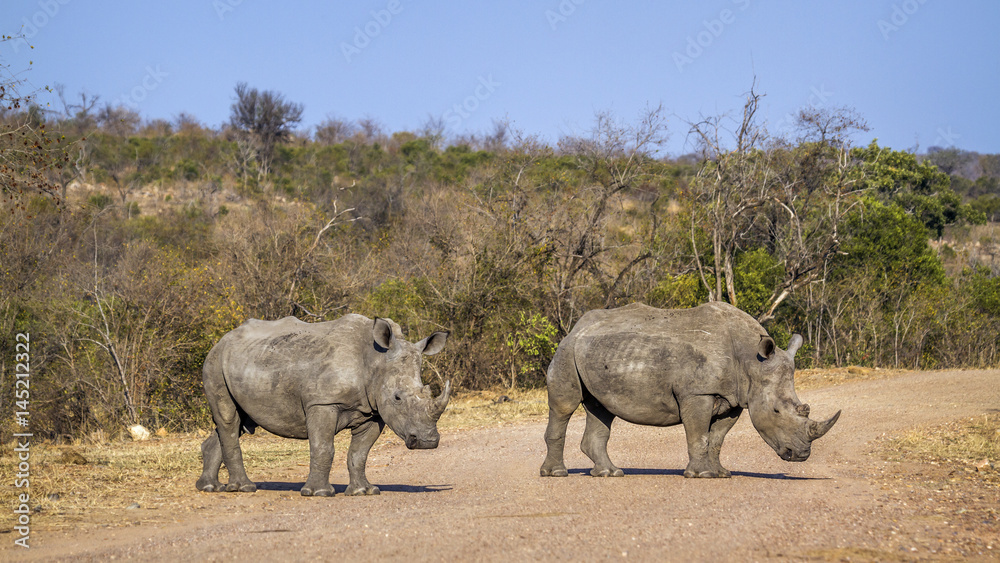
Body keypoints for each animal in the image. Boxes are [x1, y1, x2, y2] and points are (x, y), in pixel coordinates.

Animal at [196, 314, 449, 496]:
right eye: (397, 398)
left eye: (426, 391)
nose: (427, 442)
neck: (375, 360)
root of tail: (222, 339)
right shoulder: (322, 402)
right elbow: (323, 447)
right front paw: (318, 493)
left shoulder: (373, 411)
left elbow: (360, 453)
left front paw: (364, 491)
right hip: (215, 363)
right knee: (229, 419)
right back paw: (244, 488)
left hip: (247, 364)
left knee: (236, 422)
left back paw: (210, 487)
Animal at [540, 302, 840, 479]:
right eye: (776, 411)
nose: (801, 456)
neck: (751, 360)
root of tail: (576, 327)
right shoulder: (698, 393)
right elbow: (699, 435)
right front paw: (702, 476)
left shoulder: (733, 398)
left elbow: (717, 439)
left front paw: (721, 473)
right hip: (566, 350)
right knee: (565, 405)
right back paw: (556, 474)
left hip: (597, 352)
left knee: (601, 408)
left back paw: (610, 473)